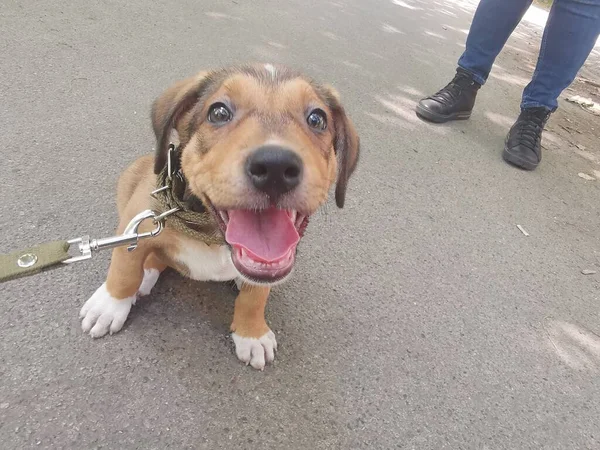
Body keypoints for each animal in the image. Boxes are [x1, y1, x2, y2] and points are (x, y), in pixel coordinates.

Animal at [81, 64, 358, 370]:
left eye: (317, 119)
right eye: (219, 112)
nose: (275, 167)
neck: (212, 233)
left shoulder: (271, 263)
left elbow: (255, 297)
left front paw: (252, 334)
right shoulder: (138, 219)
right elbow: (124, 268)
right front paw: (109, 305)